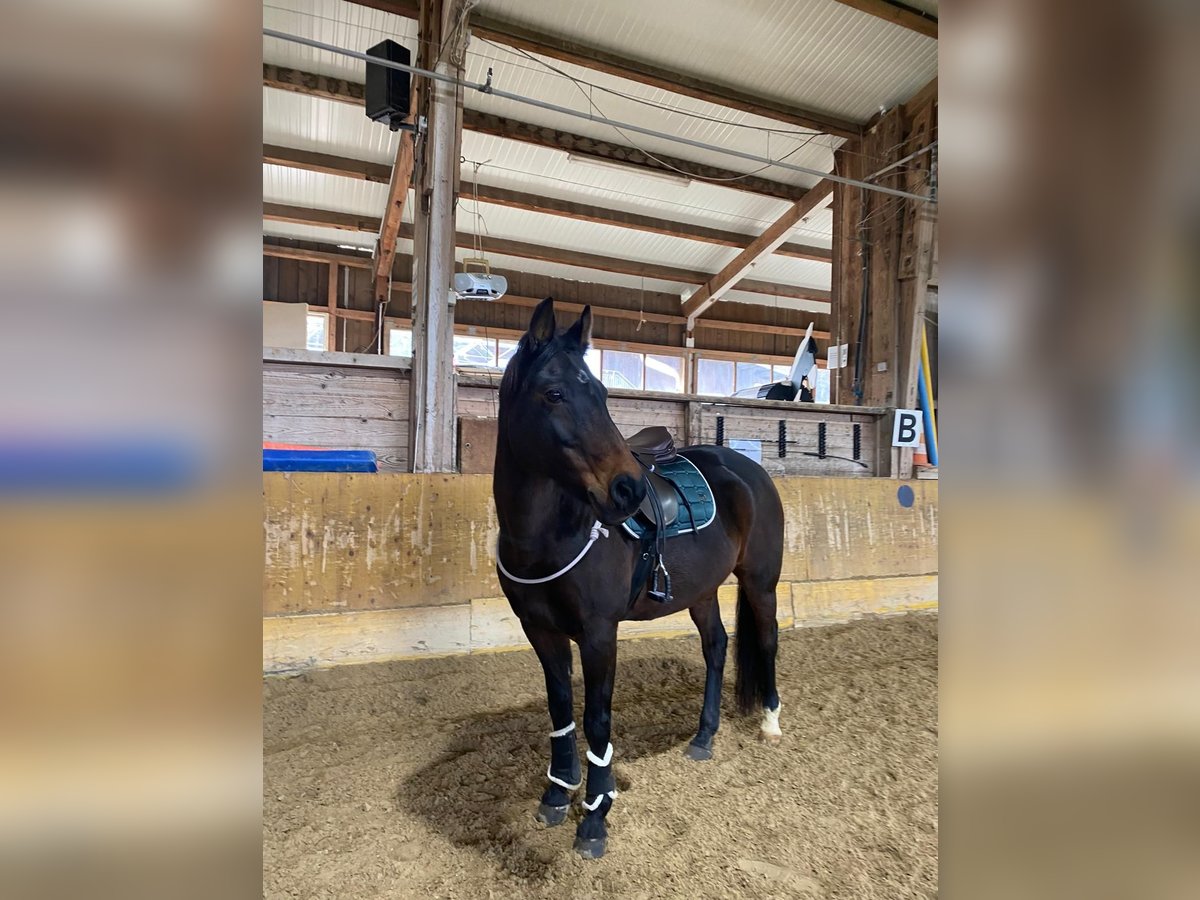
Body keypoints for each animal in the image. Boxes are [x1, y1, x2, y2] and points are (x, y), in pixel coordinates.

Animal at [492, 301, 782, 859]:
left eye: (603, 394)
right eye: (554, 393)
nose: (628, 490)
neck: (552, 533)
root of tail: (748, 469)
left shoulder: (599, 634)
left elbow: (598, 720)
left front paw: (595, 815)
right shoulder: (541, 631)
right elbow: (561, 709)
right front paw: (557, 794)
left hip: (761, 583)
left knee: (767, 640)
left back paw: (772, 721)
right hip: (702, 592)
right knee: (717, 646)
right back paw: (704, 737)